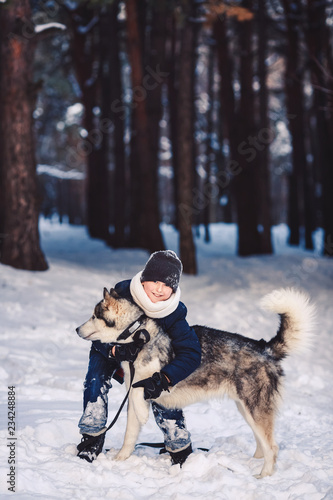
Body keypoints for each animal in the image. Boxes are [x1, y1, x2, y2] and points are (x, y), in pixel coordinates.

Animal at [76, 288, 316, 478]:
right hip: (246, 408)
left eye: (93, 316)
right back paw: (255, 461)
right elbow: (130, 433)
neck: (136, 337)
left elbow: (143, 389)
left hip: (254, 408)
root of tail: (265, 348)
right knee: (262, 441)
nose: (77, 329)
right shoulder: (134, 392)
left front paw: (143, 414)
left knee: (273, 446)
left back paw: (263, 475)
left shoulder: (159, 380)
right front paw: (120, 459)